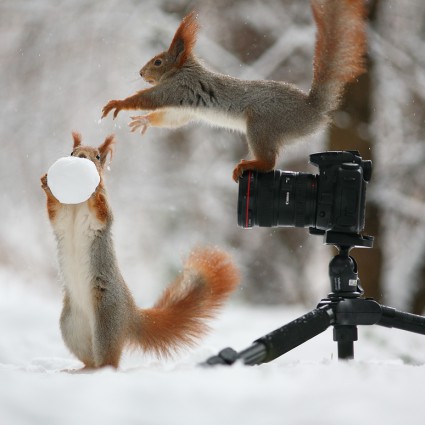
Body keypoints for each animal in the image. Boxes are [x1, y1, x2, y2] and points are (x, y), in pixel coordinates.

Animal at [39, 132, 238, 368]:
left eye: (97, 156)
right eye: (71, 152)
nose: (80, 157)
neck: (78, 203)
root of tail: (130, 315)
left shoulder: (101, 220)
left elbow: (102, 212)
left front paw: (95, 191)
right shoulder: (61, 219)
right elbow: (54, 213)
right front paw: (46, 183)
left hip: (106, 323)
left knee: (108, 361)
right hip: (71, 327)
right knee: (90, 359)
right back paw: (80, 371)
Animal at [101, 0, 366, 181]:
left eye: (157, 62)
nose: (140, 73)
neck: (182, 70)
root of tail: (313, 109)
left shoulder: (179, 87)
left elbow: (151, 98)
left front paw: (118, 103)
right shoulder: (184, 108)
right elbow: (172, 118)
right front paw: (145, 121)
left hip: (262, 125)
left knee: (270, 162)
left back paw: (249, 165)